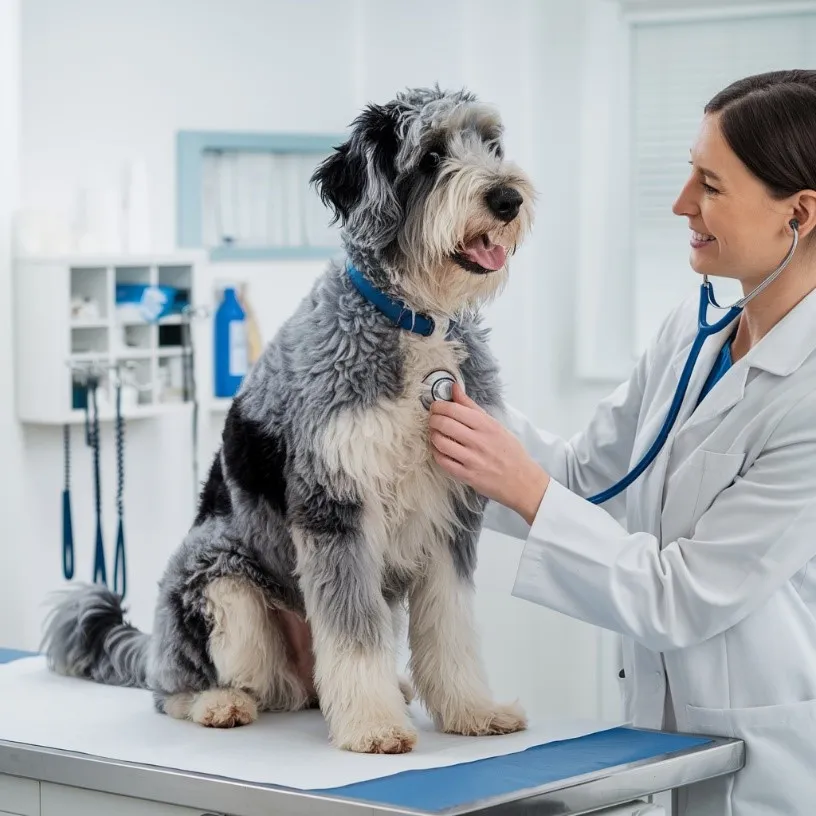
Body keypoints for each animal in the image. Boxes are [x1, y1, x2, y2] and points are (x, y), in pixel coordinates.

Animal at [41, 86, 536, 756]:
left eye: (491, 145)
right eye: (431, 155)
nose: (508, 198)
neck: (413, 321)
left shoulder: (449, 514)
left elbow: (451, 629)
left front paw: (472, 711)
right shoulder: (335, 509)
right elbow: (353, 636)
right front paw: (374, 728)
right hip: (218, 585)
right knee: (178, 687)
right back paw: (217, 702)